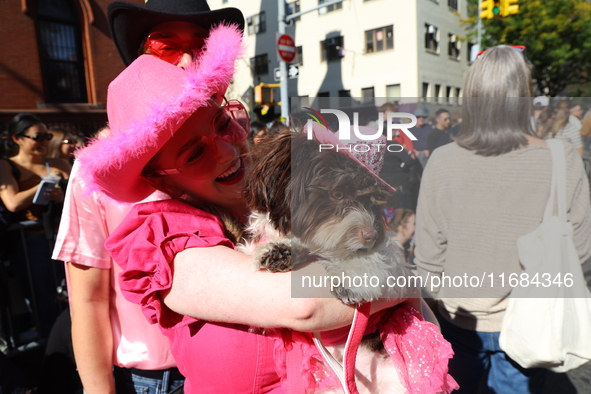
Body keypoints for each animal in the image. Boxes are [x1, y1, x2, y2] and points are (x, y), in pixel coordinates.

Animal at [240, 124, 458, 392]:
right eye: (337, 193)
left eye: (372, 201)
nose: (371, 234)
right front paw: (278, 250)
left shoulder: (390, 254)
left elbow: (373, 258)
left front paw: (351, 281)